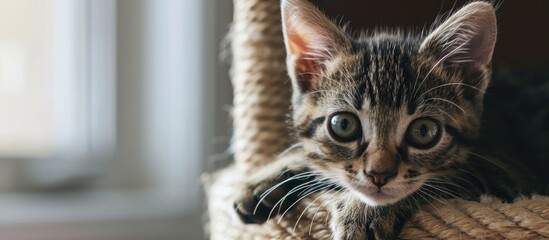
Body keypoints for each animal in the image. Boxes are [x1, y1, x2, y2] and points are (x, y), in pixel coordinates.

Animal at [231, 0, 536, 239]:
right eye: (343, 125)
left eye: (424, 131)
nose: (379, 175)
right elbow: (316, 156)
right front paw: (265, 178)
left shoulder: (506, 175)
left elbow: (441, 181)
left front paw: (364, 212)